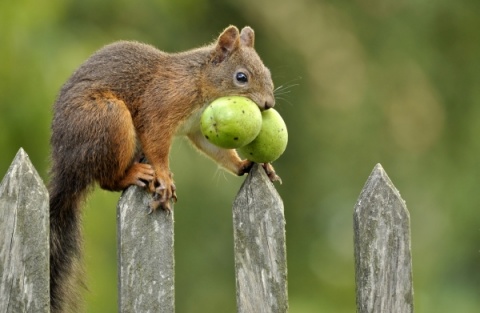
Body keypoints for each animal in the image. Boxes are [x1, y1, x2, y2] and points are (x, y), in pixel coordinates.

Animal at [48, 25, 280, 310]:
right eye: (241, 77)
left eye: (268, 72)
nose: (268, 104)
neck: (198, 79)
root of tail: (67, 168)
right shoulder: (160, 106)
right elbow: (157, 141)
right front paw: (163, 176)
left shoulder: (199, 128)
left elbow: (218, 151)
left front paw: (245, 165)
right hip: (108, 120)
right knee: (107, 180)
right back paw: (134, 173)